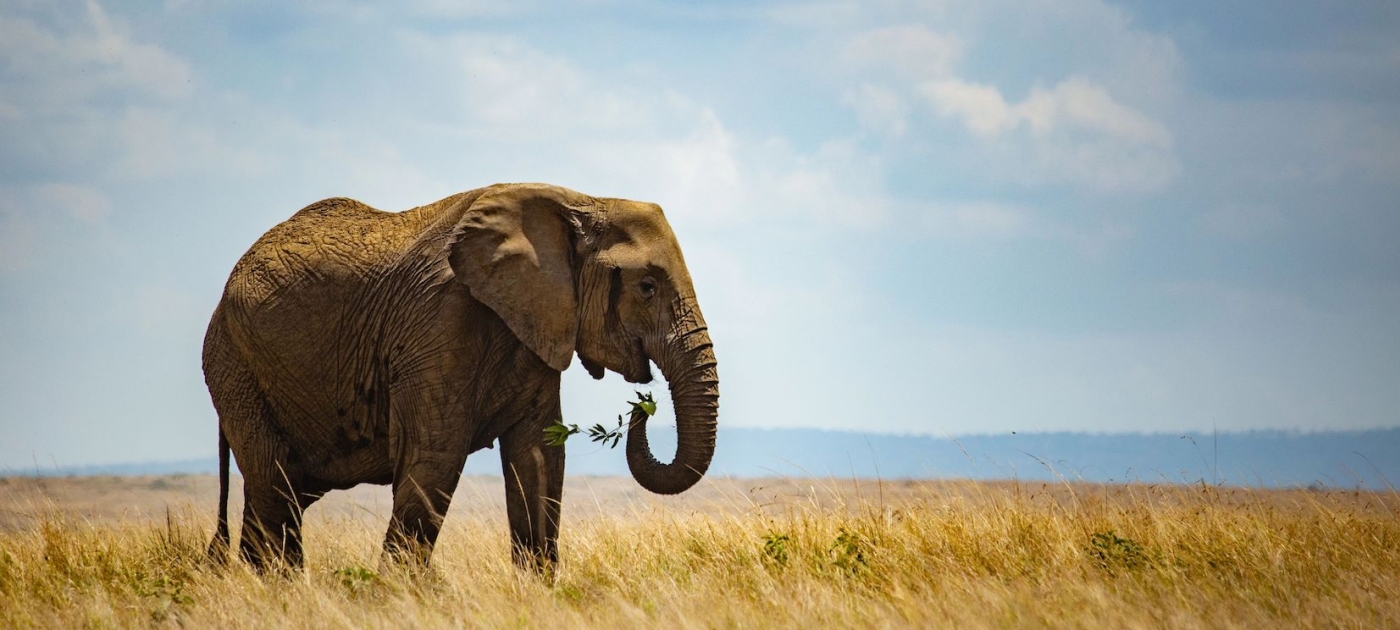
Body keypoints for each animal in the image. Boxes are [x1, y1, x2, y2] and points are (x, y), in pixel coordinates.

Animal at [201, 183, 719, 571]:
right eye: (647, 287)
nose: (641, 407)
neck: (577, 199)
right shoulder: (438, 321)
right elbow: (436, 451)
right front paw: (397, 597)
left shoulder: (537, 323)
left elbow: (539, 457)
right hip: (236, 366)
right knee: (274, 486)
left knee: (278, 495)